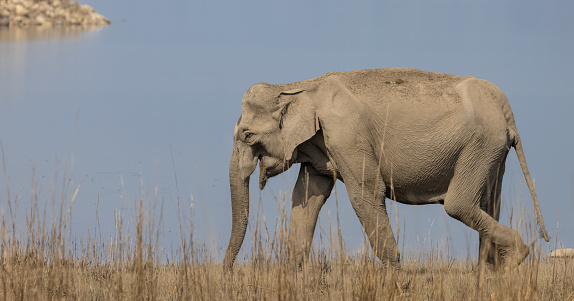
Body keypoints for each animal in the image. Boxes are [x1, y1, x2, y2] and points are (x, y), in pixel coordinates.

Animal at [223, 68, 552, 272]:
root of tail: (507, 112)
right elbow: (306, 198)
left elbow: (366, 194)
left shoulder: (347, 135)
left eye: (248, 136)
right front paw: (292, 274)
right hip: (493, 152)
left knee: (458, 204)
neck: (299, 86)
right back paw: (491, 272)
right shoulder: (322, 144)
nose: (227, 272)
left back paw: (515, 258)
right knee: (489, 202)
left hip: (481, 145)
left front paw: (395, 275)